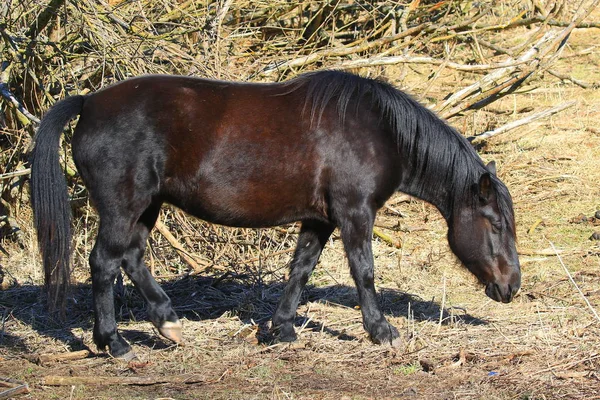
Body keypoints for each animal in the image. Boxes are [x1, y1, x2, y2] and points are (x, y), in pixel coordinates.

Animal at [29, 69, 520, 360]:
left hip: (147, 206)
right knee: (104, 263)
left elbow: (300, 268)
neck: (377, 130)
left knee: (132, 259)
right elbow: (364, 272)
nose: (512, 286)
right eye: (495, 224)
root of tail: (89, 102)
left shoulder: (321, 218)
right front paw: (382, 331)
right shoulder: (354, 213)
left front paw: (281, 328)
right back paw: (113, 342)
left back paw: (168, 322)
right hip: (123, 207)